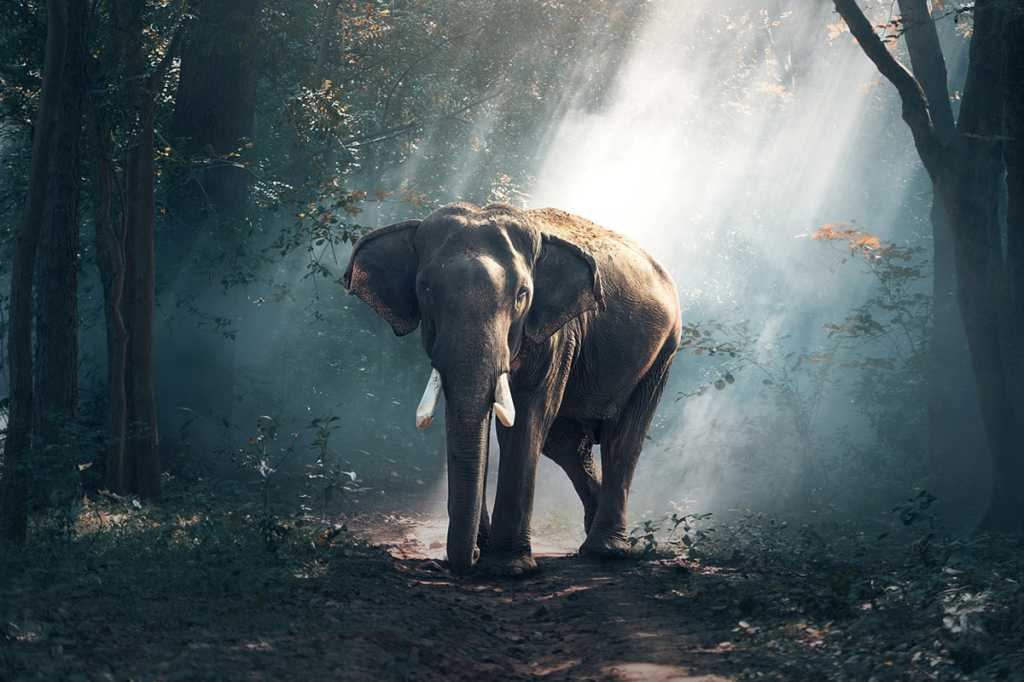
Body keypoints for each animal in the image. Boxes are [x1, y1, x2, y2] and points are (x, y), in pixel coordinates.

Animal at [343, 202, 681, 575]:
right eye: (425, 289)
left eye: (522, 295)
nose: (471, 557)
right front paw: (485, 549)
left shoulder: (556, 335)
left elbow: (526, 419)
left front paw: (508, 567)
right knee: (566, 444)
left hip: (663, 351)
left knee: (622, 437)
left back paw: (606, 551)